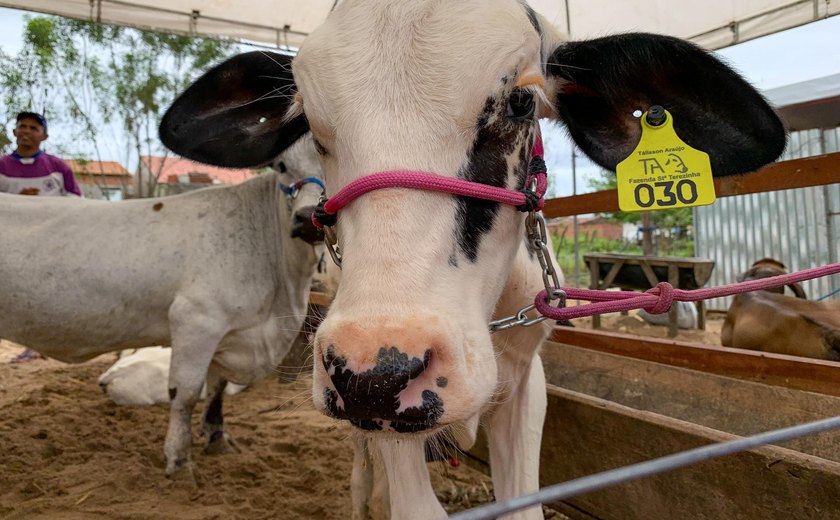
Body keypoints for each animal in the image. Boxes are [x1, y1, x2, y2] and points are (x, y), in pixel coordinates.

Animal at [0, 136, 324, 482]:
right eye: (282, 165)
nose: (309, 218)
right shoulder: (196, 321)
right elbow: (186, 395)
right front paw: (180, 463)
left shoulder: (228, 334)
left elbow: (217, 387)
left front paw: (217, 439)